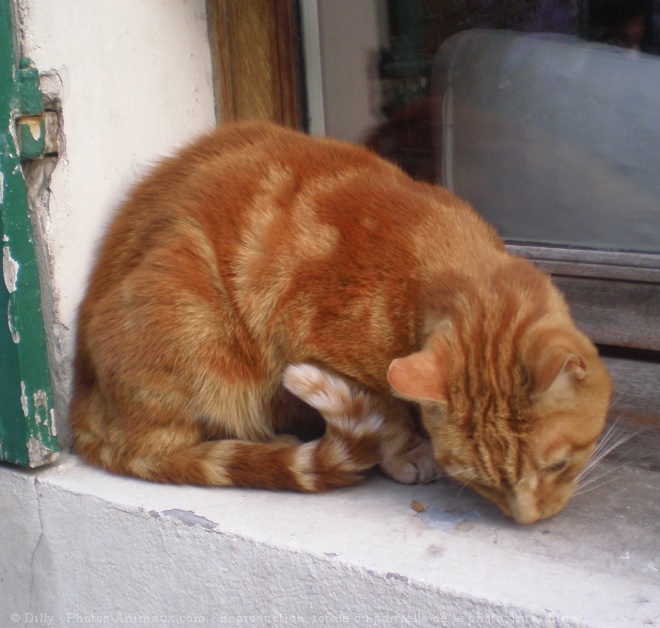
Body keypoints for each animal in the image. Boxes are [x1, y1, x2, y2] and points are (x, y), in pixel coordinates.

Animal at [69, 120, 612, 524]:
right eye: (480, 481)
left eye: (558, 465)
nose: (529, 519)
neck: (431, 261)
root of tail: (79, 403)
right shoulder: (314, 347)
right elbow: (387, 414)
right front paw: (407, 452)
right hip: (192, 320)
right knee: (166, 444)